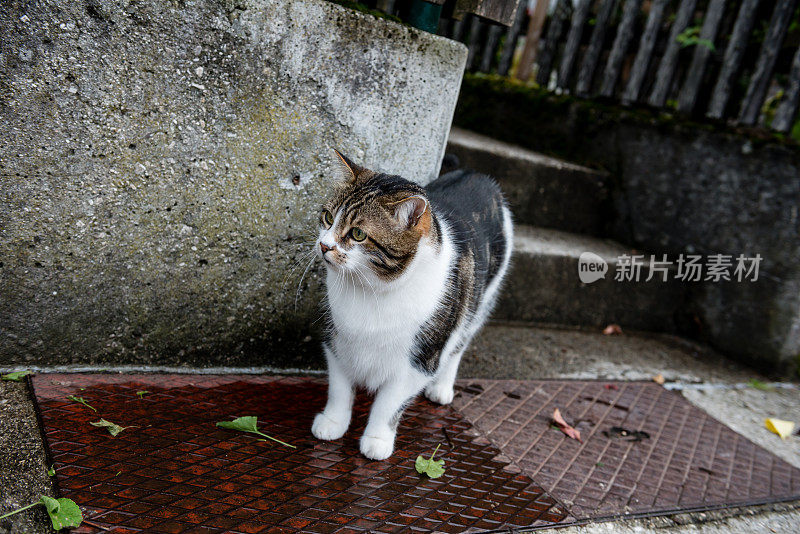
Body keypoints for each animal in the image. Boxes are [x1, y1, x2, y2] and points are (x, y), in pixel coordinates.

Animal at [310, 151, 512, 460]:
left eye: (358, 234)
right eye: (328, 217)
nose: (324, 245)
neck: (371, 290)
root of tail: (475, 174)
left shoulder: (419, 362)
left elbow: (389, 403)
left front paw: (377, 439)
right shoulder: (336, 339)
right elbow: (340, 388)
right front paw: (333, 422)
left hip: (480, 301)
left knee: (459, 343)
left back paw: (441, 387)